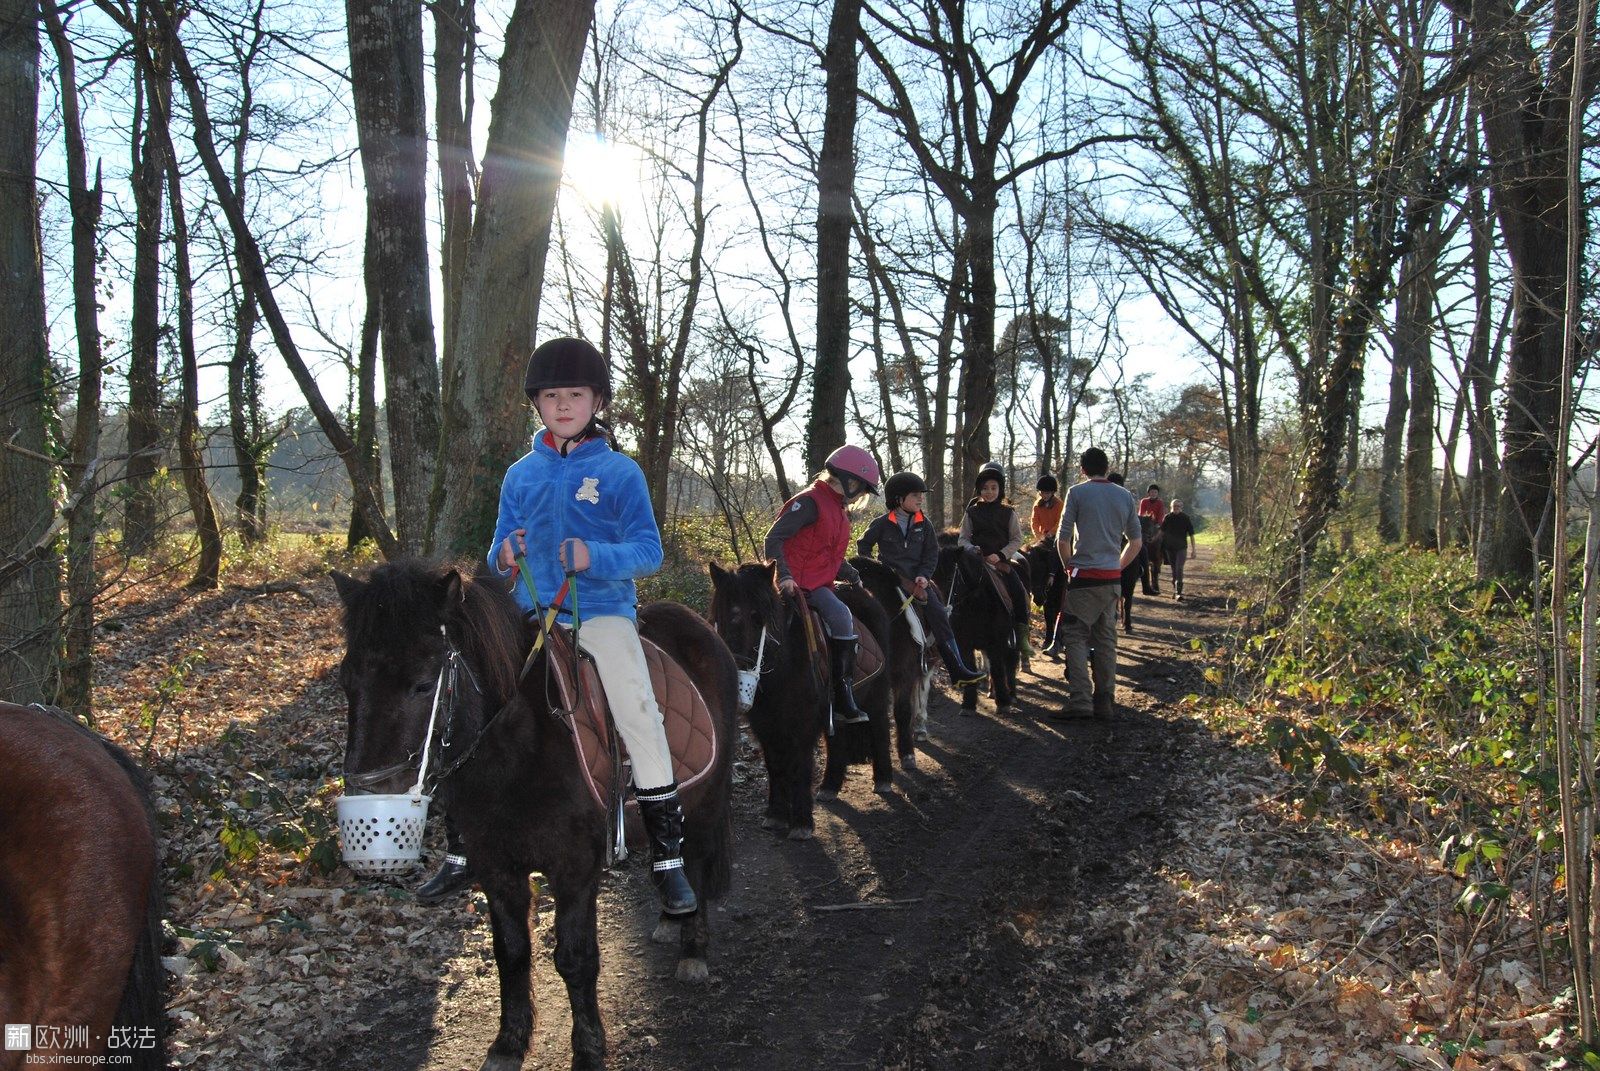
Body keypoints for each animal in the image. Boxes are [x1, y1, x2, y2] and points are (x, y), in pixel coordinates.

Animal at [340, 560, 739, 1069]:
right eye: (347, 681)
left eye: (423, 684)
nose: (370, 789)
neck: (517, 744)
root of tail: (699, 626)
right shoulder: (497, 869)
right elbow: (511, 952)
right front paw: (508, 1044)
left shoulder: (574, 869)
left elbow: (575, 957)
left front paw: (588, 1049)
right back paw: (671, 916)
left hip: (706, 802)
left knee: (698, 862)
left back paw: (693, 946)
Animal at [713, 560, 902, 832]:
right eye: (719, 615)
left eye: (757, 616)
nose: (737, 666)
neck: (783, 664)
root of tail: (865, 595)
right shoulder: (766, 726)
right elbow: (775, 766)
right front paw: (776, 815)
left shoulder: (803, 724)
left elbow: (800, 766)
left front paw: (802, 823)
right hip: (837, 708)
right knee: (838, 739)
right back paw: (829, 786)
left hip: (875, 693)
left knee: (880, 728)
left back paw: (884, 779)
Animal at [934, 547, 1030, 714]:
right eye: (934, 581)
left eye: (950, 578)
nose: (944, 612)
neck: (974, 605)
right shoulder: (964, 644)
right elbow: (972, 668)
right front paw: (968, 704)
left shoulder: (995, 643)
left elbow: (998, 669)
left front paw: (1003, 702)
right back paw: (992, 692)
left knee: (1010, 664)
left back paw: (1011, 694)